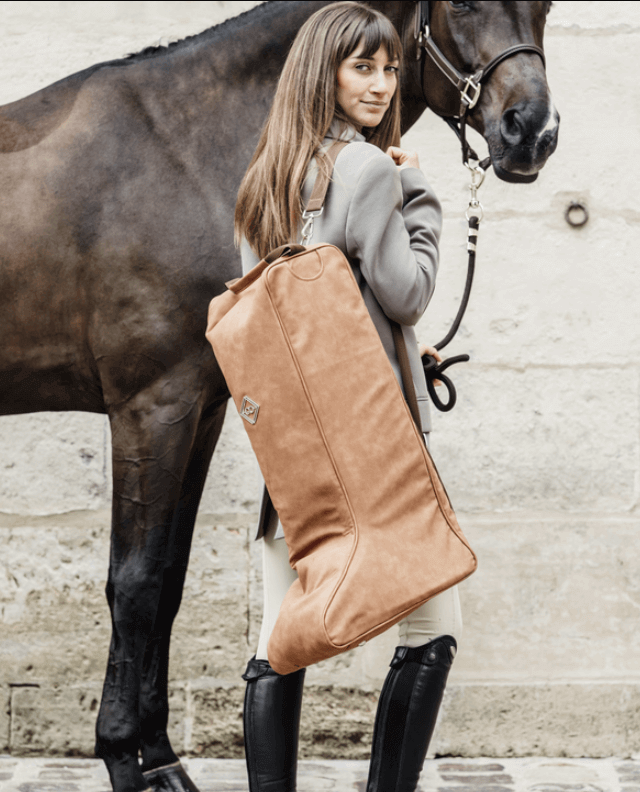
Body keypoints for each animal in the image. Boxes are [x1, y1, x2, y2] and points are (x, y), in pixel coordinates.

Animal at [0, 2, 558, 790]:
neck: (179, 151)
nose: (532, 131)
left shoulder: (200, 407)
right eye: (462, 6)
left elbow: (167, 580)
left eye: (547, 9)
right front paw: (124, 758)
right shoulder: (149, 407)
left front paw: (158, 756)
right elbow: (134, 583)